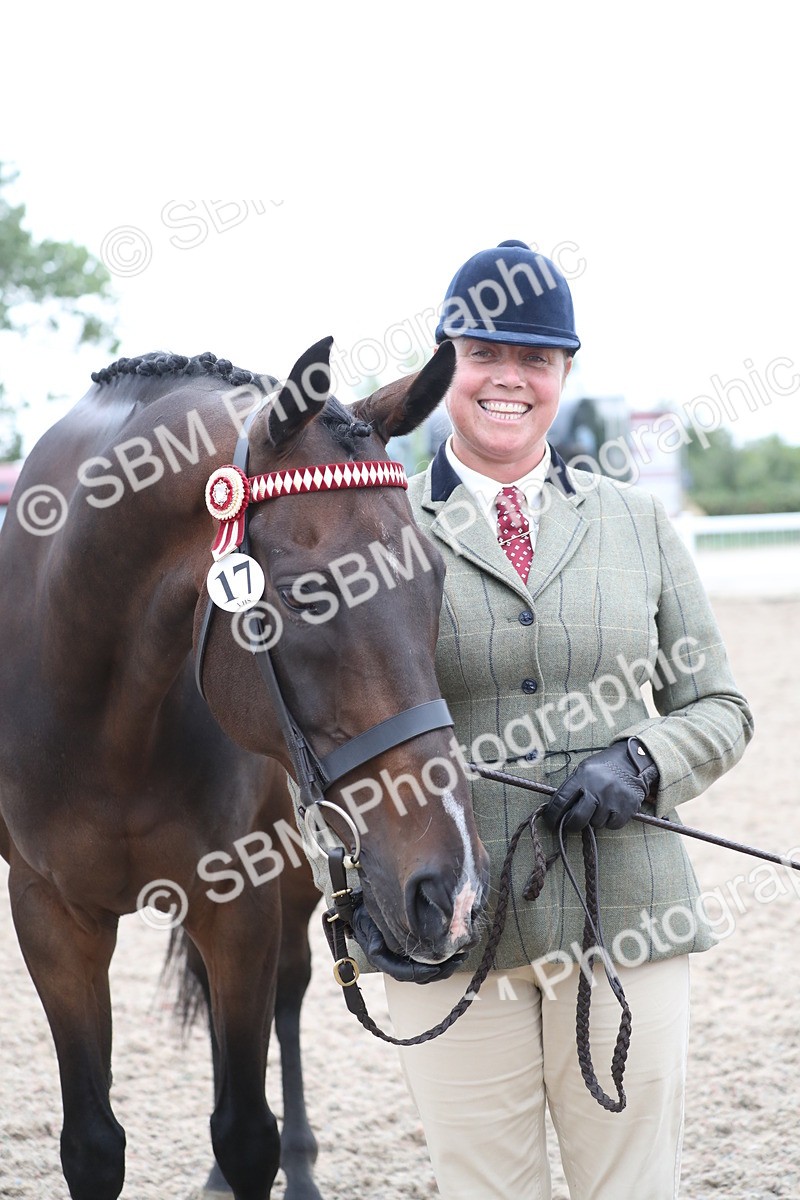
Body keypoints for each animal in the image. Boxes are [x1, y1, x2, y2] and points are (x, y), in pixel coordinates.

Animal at [0, 337, 490, 1200]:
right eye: (305, 595)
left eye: (433, 579)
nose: (451, 889)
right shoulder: (48, 916)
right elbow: (91, 1144)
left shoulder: (241, 906)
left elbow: (245, 1131)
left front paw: (273, 1158)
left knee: (290, 994)